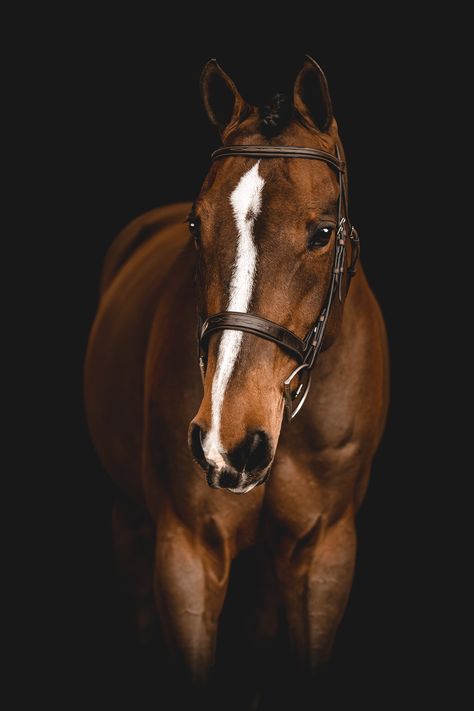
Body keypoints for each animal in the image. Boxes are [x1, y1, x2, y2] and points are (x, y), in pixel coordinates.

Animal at [84, 54, 388, 696]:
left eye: (322, 233)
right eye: (196, 226)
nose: (227, 441)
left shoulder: (325, 553)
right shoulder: (188, 556)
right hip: (127, 514)